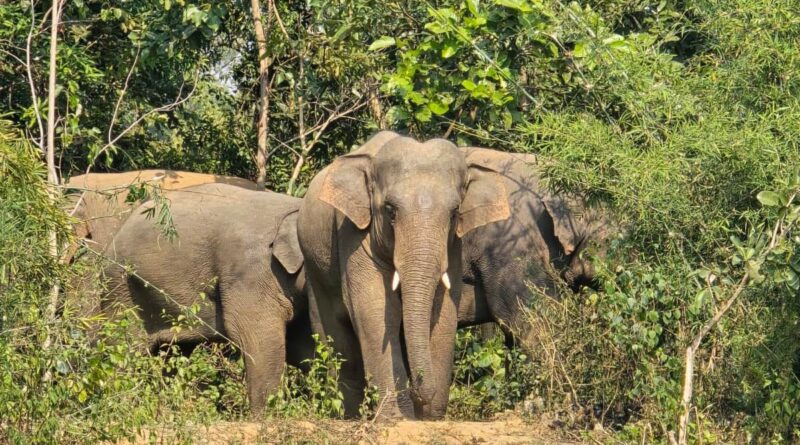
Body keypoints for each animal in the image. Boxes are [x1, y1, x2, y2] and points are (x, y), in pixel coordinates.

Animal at [102, 183, 311, 413]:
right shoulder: (252, 273)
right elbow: (258, 338)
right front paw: (265, 416)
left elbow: (302, 343)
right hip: (120, 287)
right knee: (125, 351)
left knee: (174, 352)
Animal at [297, 131, 511, 419]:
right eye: (390, 210)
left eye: (455, 212)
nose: (419, 392)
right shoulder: (352, 233)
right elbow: (375, 311)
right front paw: (397, 417)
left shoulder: (453, 246)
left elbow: (444, 312)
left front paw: (430, 417)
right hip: (314, 270)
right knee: (338, 342)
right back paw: (349, 415)